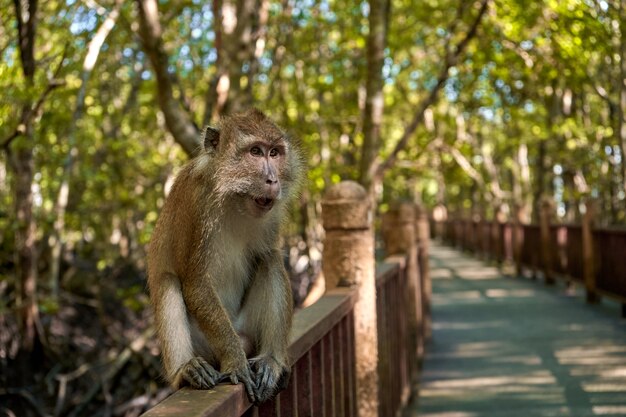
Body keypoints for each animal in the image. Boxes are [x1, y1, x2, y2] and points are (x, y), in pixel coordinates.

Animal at [146, 109, 302, 402]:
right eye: (255, 152)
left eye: (274, 153)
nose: (272, 180)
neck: (233, 197)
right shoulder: (194, 202)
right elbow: (195, 283)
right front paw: (235, 363)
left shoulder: (272, 215)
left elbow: (267, 254)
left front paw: (273, 362)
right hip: (205, 344)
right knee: (168, 282)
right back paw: (186, 370)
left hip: (246, 327)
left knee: (270, 260)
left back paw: (270, 360)